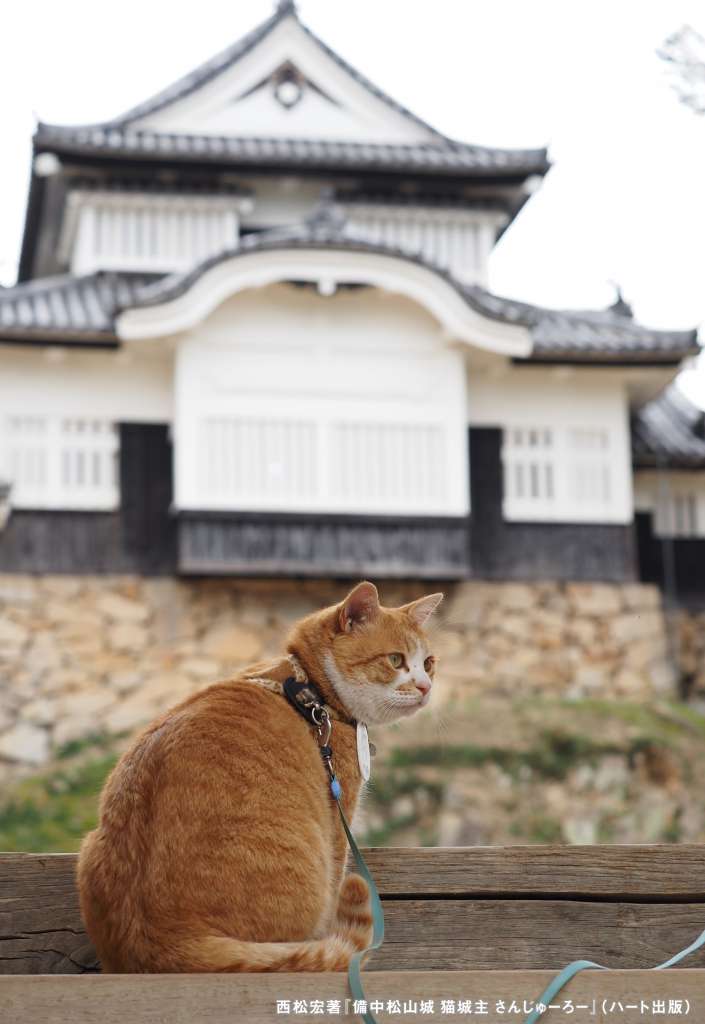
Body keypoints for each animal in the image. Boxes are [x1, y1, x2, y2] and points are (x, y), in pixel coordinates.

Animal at [76, 581, 440, 970]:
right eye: (396, 660)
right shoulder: (337, 819)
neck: (311, 690)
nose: (425, 687)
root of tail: (164, 940)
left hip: (89, 846)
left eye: (428, 664)